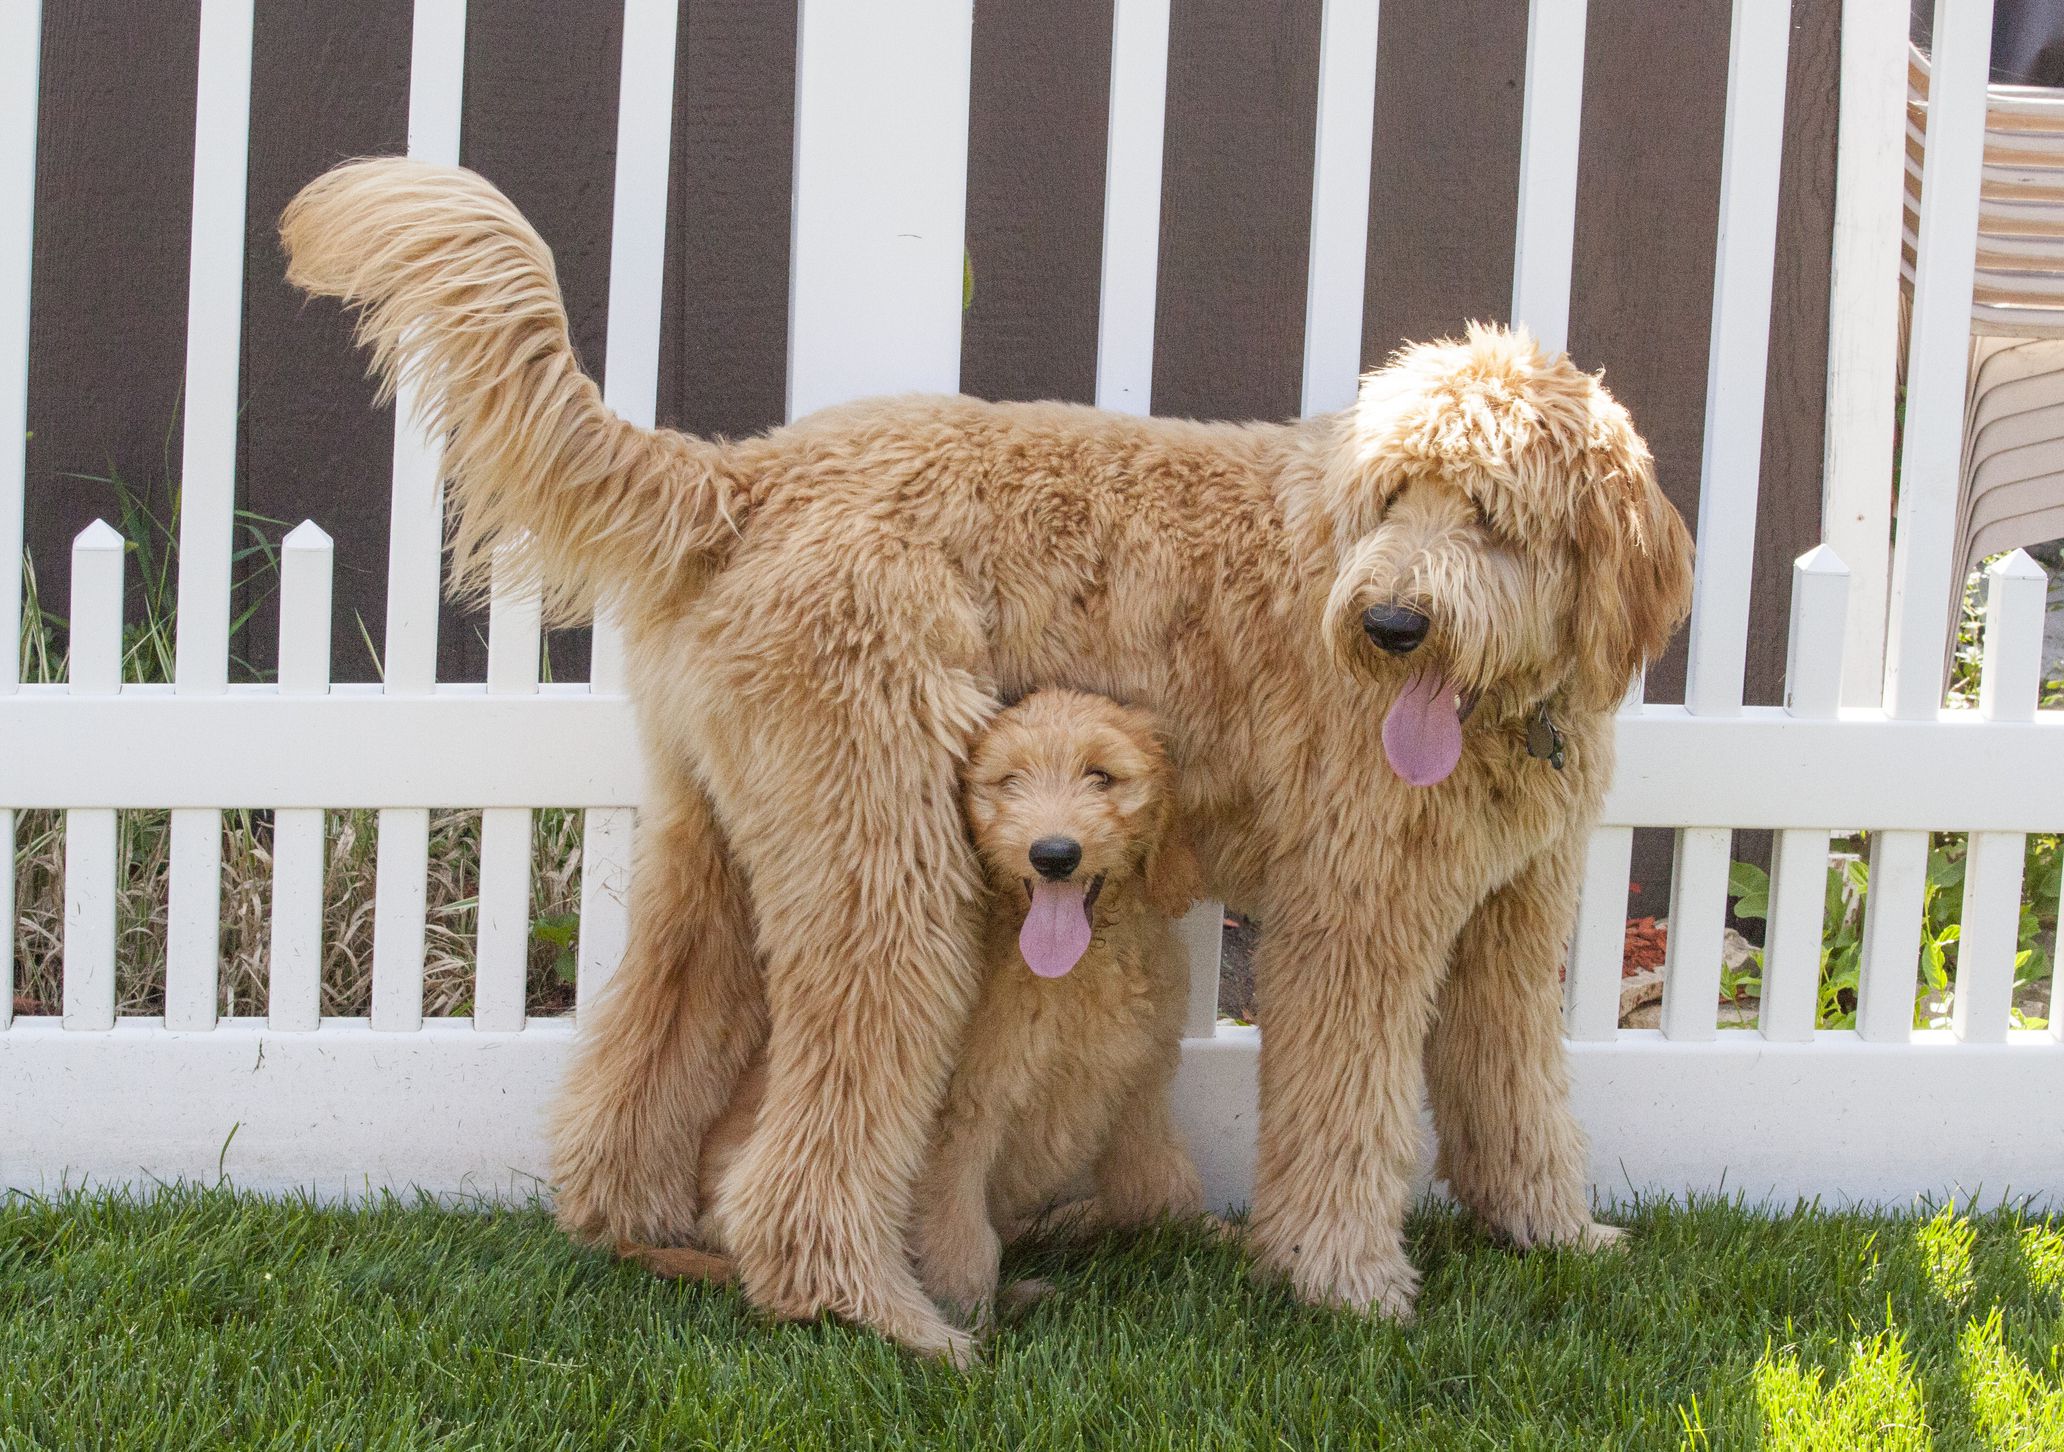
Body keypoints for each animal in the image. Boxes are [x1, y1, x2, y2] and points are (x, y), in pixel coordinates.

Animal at [278, 159, 1692, 1363]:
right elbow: (1347, 1117)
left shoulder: (1512, 919)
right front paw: (1348, 1287)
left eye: (1490, 515)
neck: (1505, 706)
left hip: (720, 852)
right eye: (1392, 497)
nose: (1391, 625)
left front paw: (1554, 1233)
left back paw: (644, 1238)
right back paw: (885, 1316)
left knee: (642, 1068)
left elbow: (1516, 1089)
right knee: (810, 1152)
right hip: (888, 866)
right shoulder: (1355, 919)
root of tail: (744, 477)